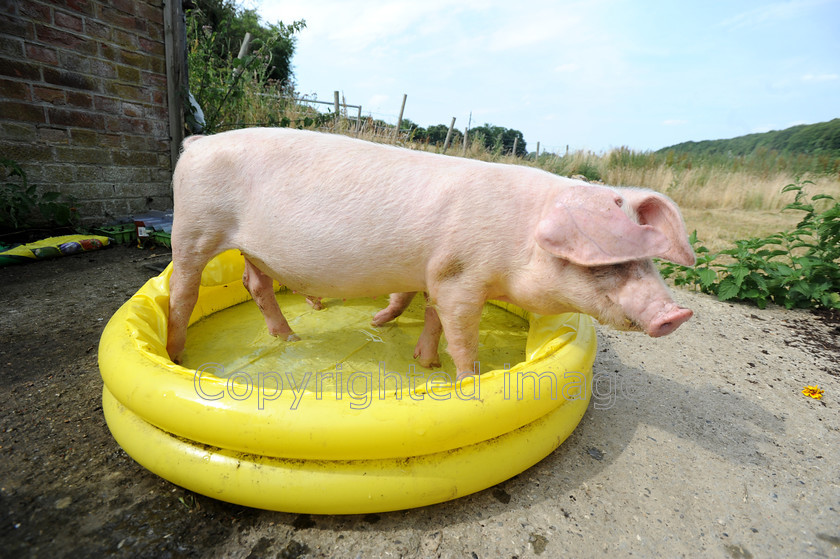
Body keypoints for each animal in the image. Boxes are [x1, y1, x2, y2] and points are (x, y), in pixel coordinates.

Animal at [166, 129, 696, 378]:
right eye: (611, 262)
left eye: (647, 260)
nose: (677, 314)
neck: (517, 240)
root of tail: (198, 142)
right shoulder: (462, 277)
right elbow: (460, 332)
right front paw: (465, 379)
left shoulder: (441, 271)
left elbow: (434, 317)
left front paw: (424, 363)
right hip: (193, 226)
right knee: (183, 290)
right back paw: (177, 355)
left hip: (251, 249)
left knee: (255, 283)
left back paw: (290, 339)